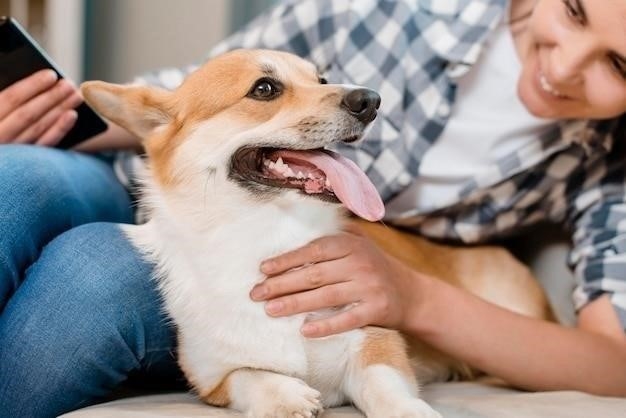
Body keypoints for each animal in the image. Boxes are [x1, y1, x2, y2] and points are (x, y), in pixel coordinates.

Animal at [80, 48, 548, 418]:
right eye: (265, 88)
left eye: (320, 79)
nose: (371, 99)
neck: (266, 234)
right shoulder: (213, 378)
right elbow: (250, 375)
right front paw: (286, 396)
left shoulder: (374, 339)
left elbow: (385, 384)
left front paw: (409, 410)